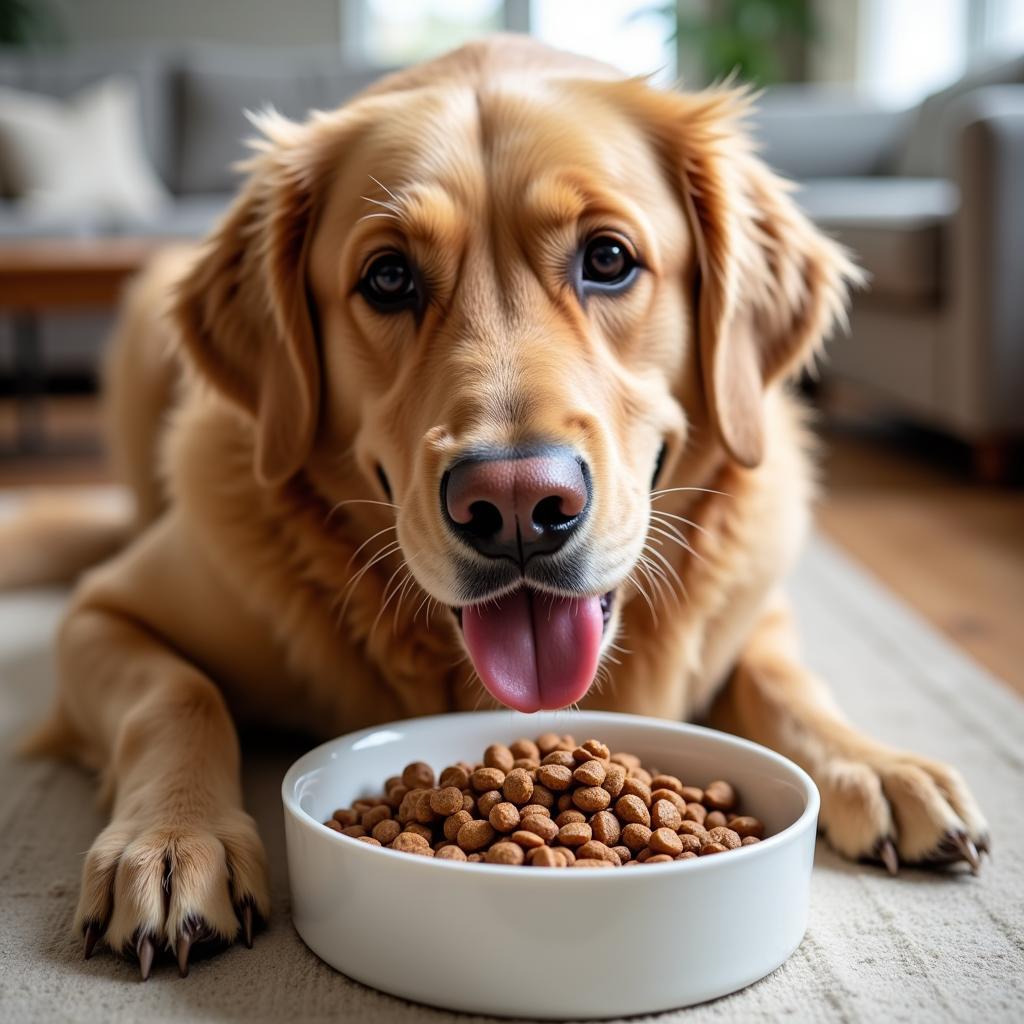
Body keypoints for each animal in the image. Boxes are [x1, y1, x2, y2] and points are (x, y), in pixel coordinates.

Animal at [4, 37, 987, 974]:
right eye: (388, 277)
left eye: (609, 259)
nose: (515, 504)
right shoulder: (104, 611)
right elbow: (178, 695)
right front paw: (173, 840)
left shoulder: (757, 603)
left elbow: (782, 677)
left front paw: (876, 766)